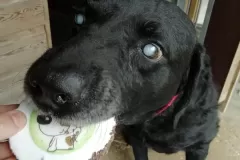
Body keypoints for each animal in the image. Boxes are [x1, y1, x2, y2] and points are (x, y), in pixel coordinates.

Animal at [24, 0, 219, 159]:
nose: (47, 85)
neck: (159, 118)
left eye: (152, 50)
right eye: (80, 18)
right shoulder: (137, 140)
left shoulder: (200, 147)